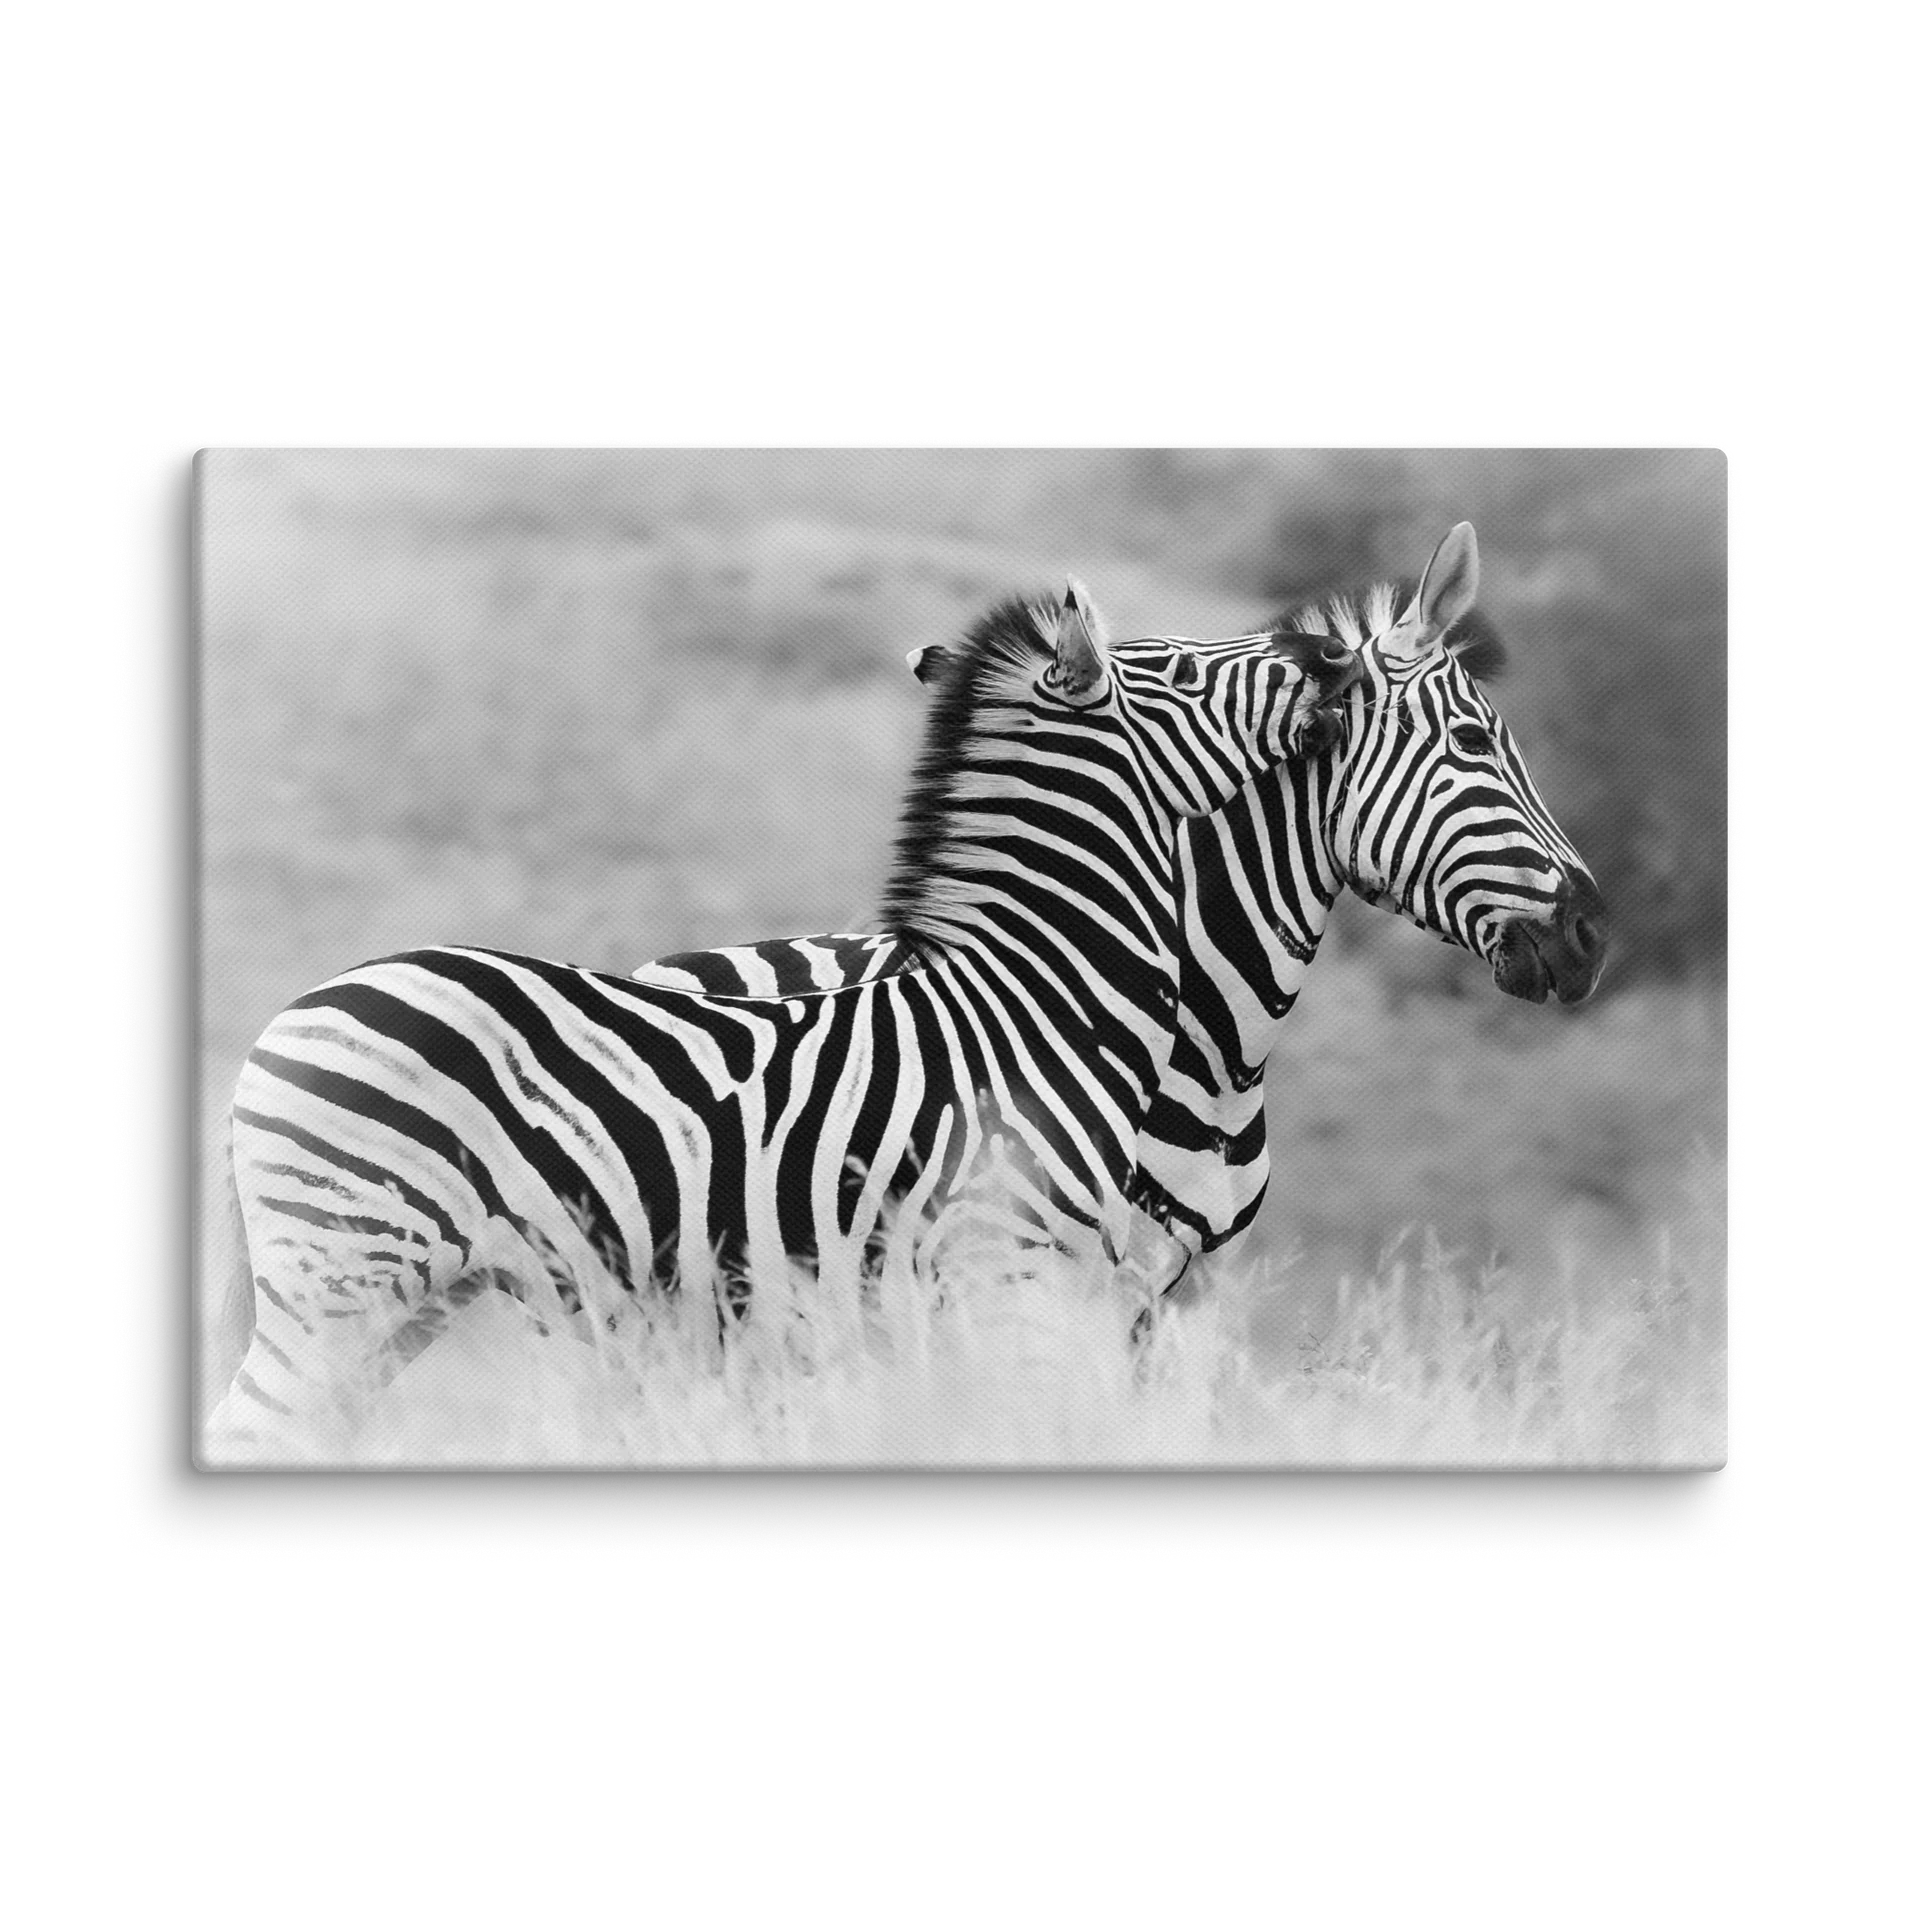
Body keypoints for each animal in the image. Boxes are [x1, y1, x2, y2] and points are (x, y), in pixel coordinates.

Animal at [205, 581, 1359, 1458]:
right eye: (1186, 673)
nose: (1327, 647)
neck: (1036, 1002)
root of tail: (297, 1011)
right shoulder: (1004, 1272)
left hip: (406, 1297)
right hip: (345, 1278)